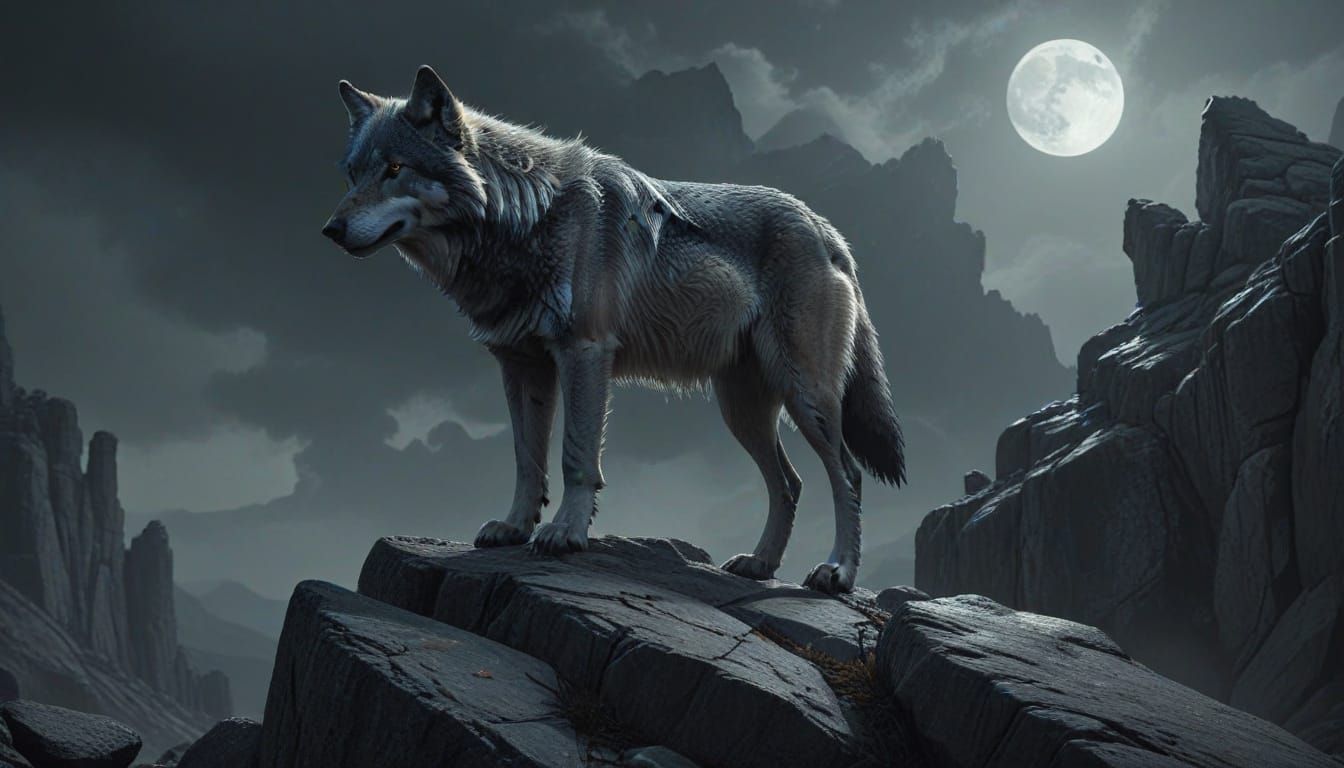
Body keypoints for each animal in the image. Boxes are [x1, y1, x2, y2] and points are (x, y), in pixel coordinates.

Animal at [322, 66, 905, 593]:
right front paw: (514, 527)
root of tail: (829, 232)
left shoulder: (584, 353)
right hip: (742, 409)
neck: (526, 216)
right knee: (790, 483)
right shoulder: (521, 365)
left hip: (805, 396)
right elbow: (527, 459)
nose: (330, 229)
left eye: (395, 168)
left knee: (847, 474)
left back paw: (838, 572)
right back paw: (759, 564)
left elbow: (575, 456)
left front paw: (565, 534)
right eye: (352, 175)